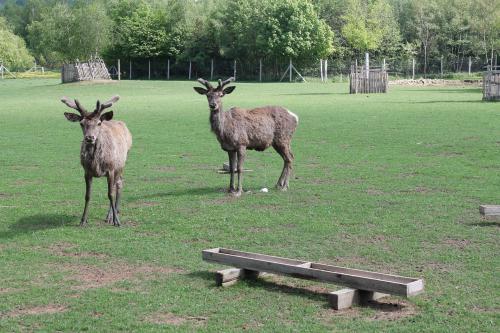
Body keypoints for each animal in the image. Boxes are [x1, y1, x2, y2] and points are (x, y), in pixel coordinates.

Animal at [61, 96, 132, 226]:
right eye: (81, 123)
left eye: (98, 123)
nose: (90, 138)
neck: (96, 163)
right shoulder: (86, 171)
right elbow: (87, 195)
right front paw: (83, 220)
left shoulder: (110, 169)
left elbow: (110, 194)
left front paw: (117, 221)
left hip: (121, 164)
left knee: (118, 184)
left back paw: (112, 215)